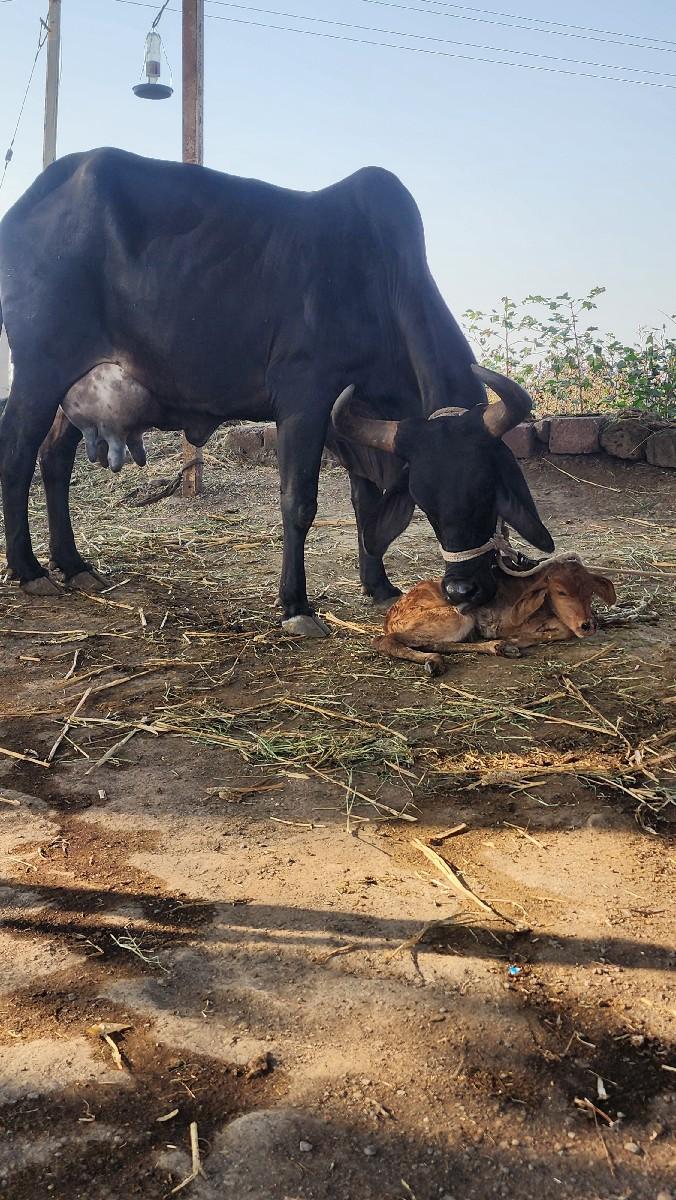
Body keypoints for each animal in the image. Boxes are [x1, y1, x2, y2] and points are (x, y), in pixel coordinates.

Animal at [0, 148, 553, 635]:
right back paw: (30, 571)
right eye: (425, 499)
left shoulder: (353, 424)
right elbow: (299, 503)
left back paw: (74, 565)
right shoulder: (305, 402)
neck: (379, 281)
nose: (463, 590)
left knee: (54, 459)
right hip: (39, 371)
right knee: (18, 455)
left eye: (486, 489)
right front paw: (296, 606)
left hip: (72, 387)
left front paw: (378, 585)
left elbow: (366, 502)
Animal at [375, 555, 617, 674]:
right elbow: (563, 630)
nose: (587, 625)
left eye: (590, 591)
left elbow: (563, 630)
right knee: (385, 641)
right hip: (457, 617)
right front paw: (516, 640)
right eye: (561, 591)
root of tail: (390, 618)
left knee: (435, 643)